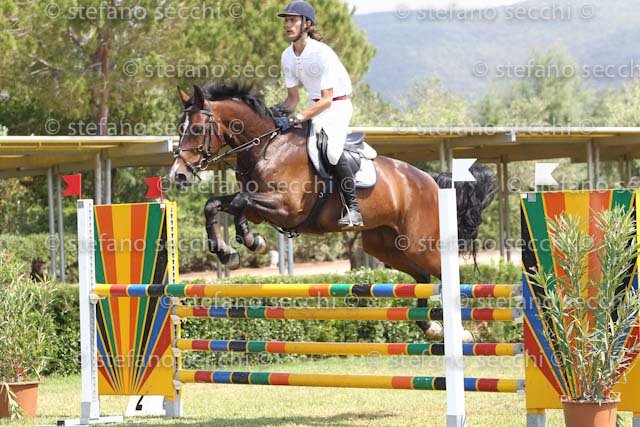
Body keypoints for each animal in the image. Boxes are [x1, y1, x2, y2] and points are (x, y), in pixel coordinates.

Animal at [169, 82, 498, 339]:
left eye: (196, 129)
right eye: (179, 129)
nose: (178, 176)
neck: (265, 148)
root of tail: (429, 180)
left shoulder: (286, 208)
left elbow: (239, 203)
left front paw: (251, 242)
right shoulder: (260, 209)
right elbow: (215, 204)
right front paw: (228, 252)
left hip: (420, 244)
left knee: (445, 275)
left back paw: (462, 331)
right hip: (386, 246)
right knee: (423, 277)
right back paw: (430, 327)